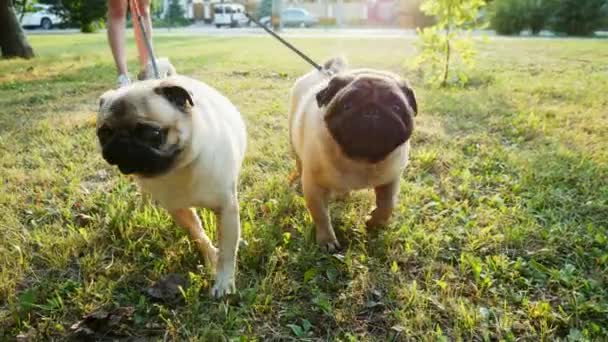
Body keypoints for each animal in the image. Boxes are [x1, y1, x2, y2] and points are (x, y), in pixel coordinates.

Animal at [96, 75, 246, 296]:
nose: (121, 140)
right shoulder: (178, 210)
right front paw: (211, 257)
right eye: (104, 133)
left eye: (151, 133)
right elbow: (198, 235)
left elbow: (227, 251)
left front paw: (223, 281)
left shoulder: (226, 208)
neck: (178, 168)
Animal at [290, 57, 418, 251]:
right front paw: (327, 240)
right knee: (299, 161)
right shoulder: (314, 187)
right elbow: (320, 215)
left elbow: (387, 205)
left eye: (396, 107)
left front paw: (374, 222)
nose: (372, 111)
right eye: (347, 105)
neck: (359, 160)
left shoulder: (391, 180)